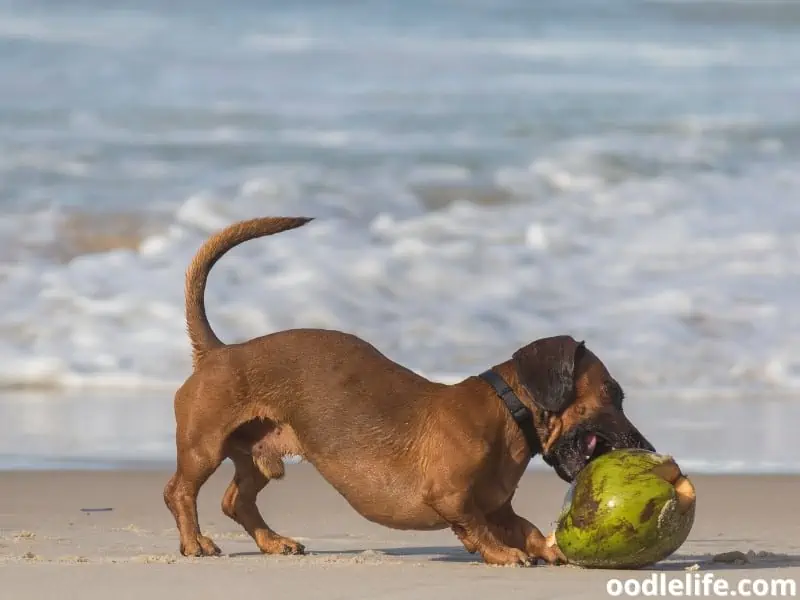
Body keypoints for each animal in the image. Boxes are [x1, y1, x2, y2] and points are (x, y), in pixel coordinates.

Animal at [164, 217, 656, 568]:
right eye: (612, 393)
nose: (648, 449)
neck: (505, 413)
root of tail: (218, 351)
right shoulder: (452, 499)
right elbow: (476, 528)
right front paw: (502, 554)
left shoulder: (499, 507)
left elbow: (526, 527)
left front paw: (547, 549)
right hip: (204, 448)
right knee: (179, 492)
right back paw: (195, 543)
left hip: (258, 460)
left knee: (235, 501)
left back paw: (273, 541)